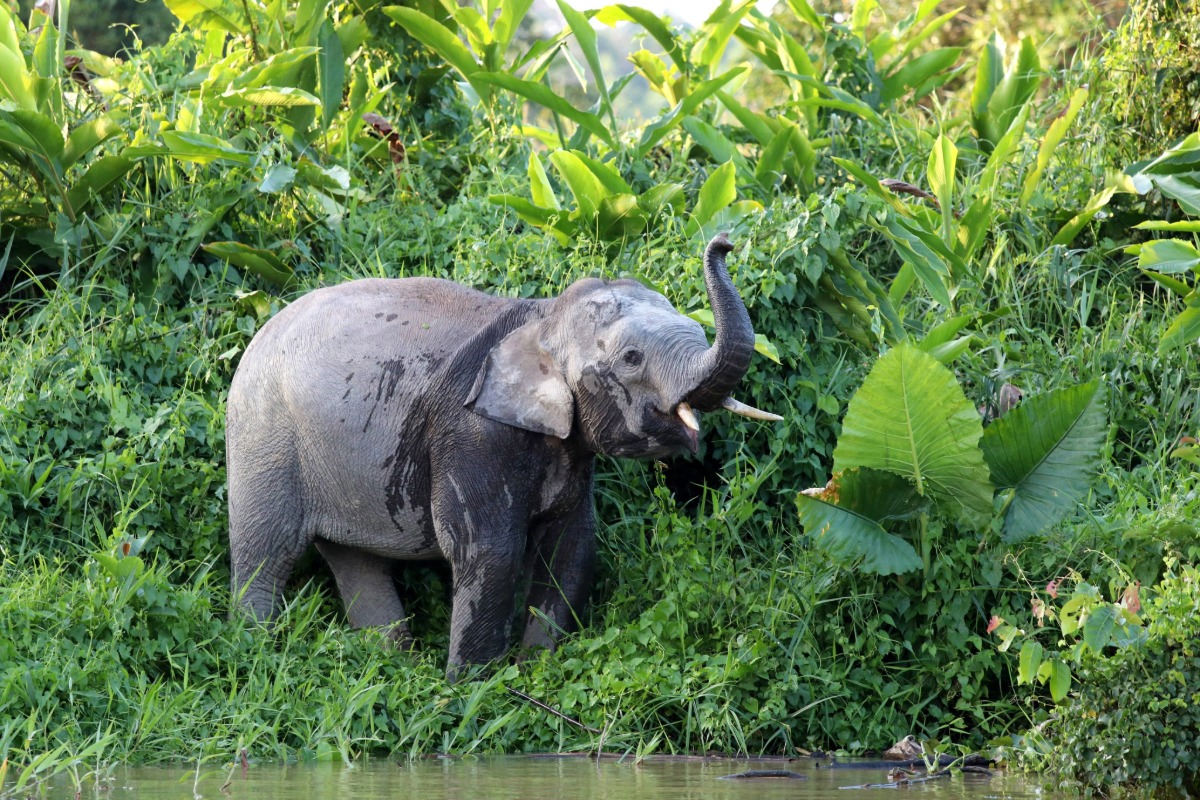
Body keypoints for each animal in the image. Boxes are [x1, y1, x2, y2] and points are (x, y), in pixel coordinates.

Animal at [226, 233, 780, 677]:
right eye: (631, 358)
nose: (725, 240)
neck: (543, 316)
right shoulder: (472, 433)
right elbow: (488, 551)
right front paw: (472, 690)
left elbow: (572, 546)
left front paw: (537, 671)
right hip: (263, 436)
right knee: (267, 552)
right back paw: (257, 652)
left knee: (356, 560)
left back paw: (391, 663)